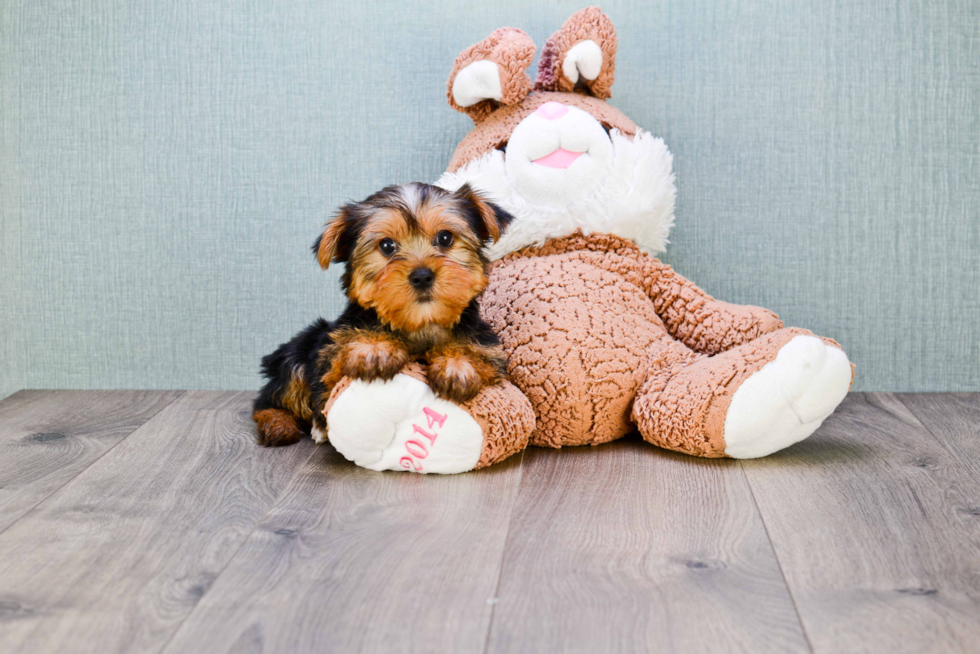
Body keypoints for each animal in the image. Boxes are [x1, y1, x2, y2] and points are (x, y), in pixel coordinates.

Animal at [251, 184, 512, 452]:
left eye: (445, 238)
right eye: (387, 246)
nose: (422, 276)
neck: (419, 324)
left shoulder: (488, 349)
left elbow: (482, 359)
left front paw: (457, 365)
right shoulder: (330, 348)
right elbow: (332, 373)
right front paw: (375, 348)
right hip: (298, 351)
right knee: (269, 398)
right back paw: (280, 425)